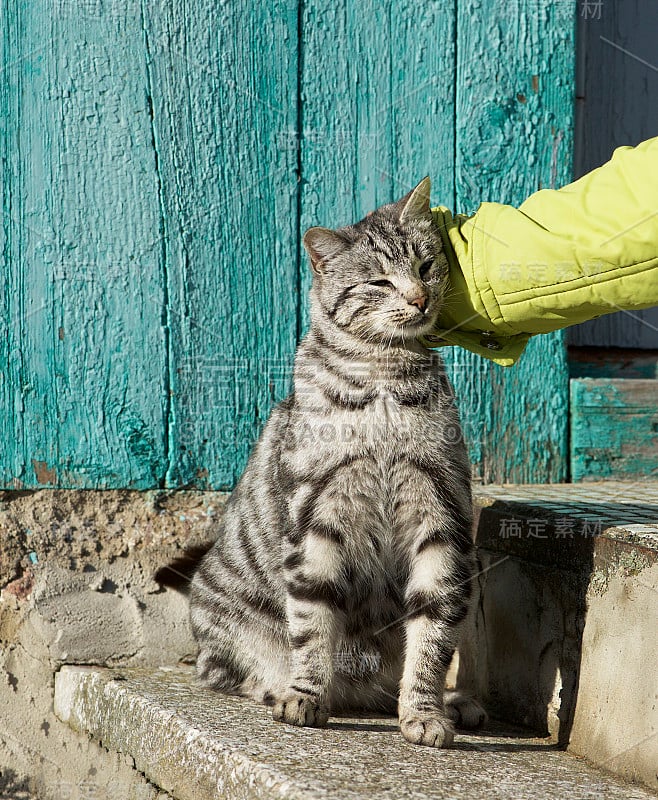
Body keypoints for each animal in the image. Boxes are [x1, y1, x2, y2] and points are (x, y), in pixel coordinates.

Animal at [187, 178, 484, 748]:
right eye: (378, 281)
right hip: (222, 618)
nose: (419, 297)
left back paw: (455, 703)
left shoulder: (440, 514)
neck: (386, 379)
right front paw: (305, 696)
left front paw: (426, 713)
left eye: (425, 264)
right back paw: (277, 687)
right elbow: (312, 623)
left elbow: (433, 633)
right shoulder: (317, 519)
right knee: (229, 672)